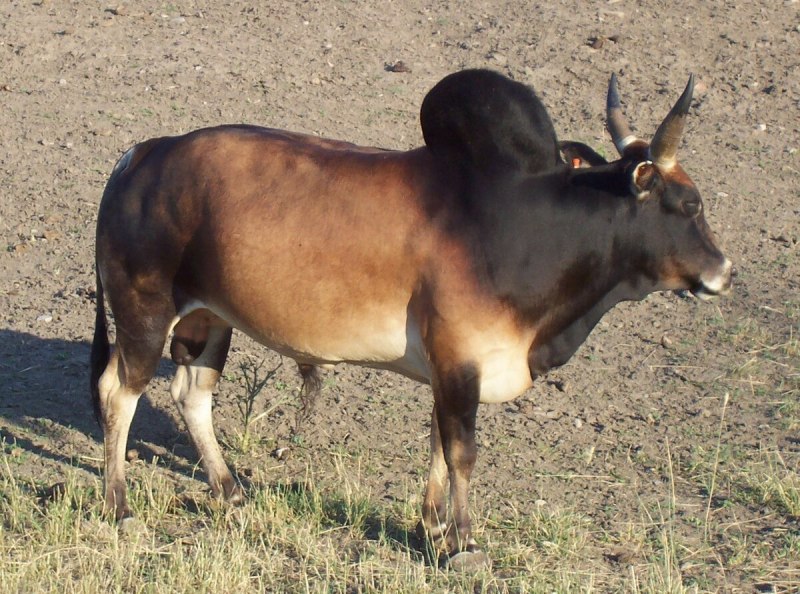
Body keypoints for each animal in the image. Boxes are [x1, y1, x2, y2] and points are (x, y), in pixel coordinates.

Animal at [90, 69, 731, 571]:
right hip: (145, 311)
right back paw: (120, 507)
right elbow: (463, 451)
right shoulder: (461, 360)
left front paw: (433, 526)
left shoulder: (450, 372)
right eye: (691, 204)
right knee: (118, 391)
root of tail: (141, 155)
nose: (723, 271)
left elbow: (438, 445)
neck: (526, 222)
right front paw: (465, 543)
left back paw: (230, 492)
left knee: (192, 395)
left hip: (207, 319)